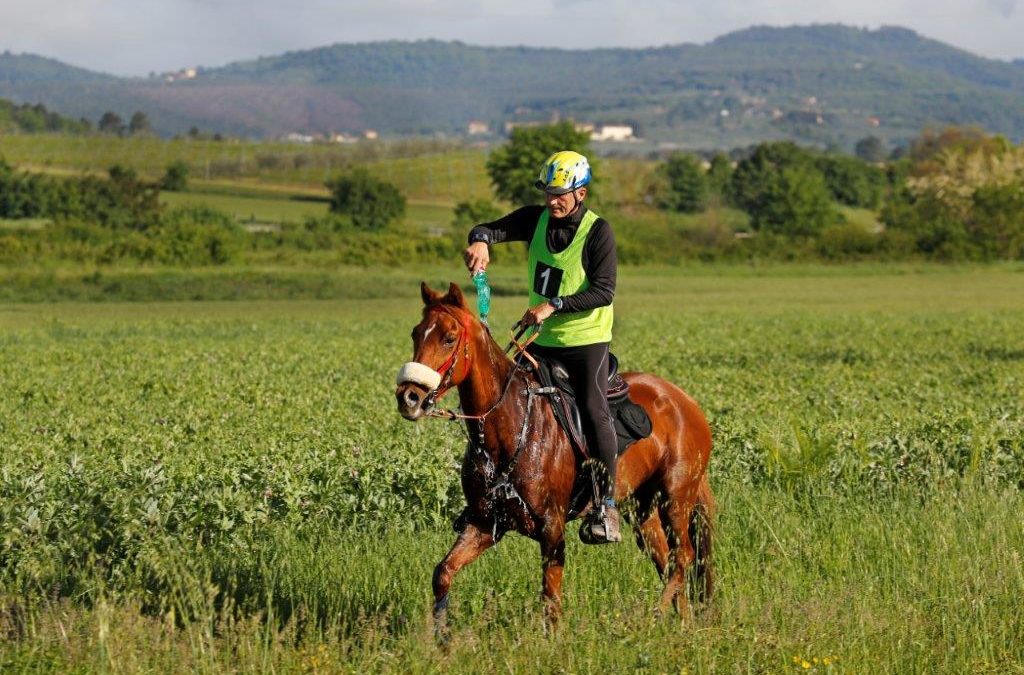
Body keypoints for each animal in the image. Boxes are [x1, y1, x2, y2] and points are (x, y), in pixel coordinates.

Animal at [395, 282, 716, 630]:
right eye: (415, 333)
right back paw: (684, 625)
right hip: (642, 508)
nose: (408, 397)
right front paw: (442, 637)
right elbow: (443, 573)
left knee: (683, 557)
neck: (509, 425)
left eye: (449, 337)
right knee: (666, 559)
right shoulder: (484, 523)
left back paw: (653, 615)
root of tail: (685, 401)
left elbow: (550, 603)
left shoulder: (552, 529)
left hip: (676, 496)